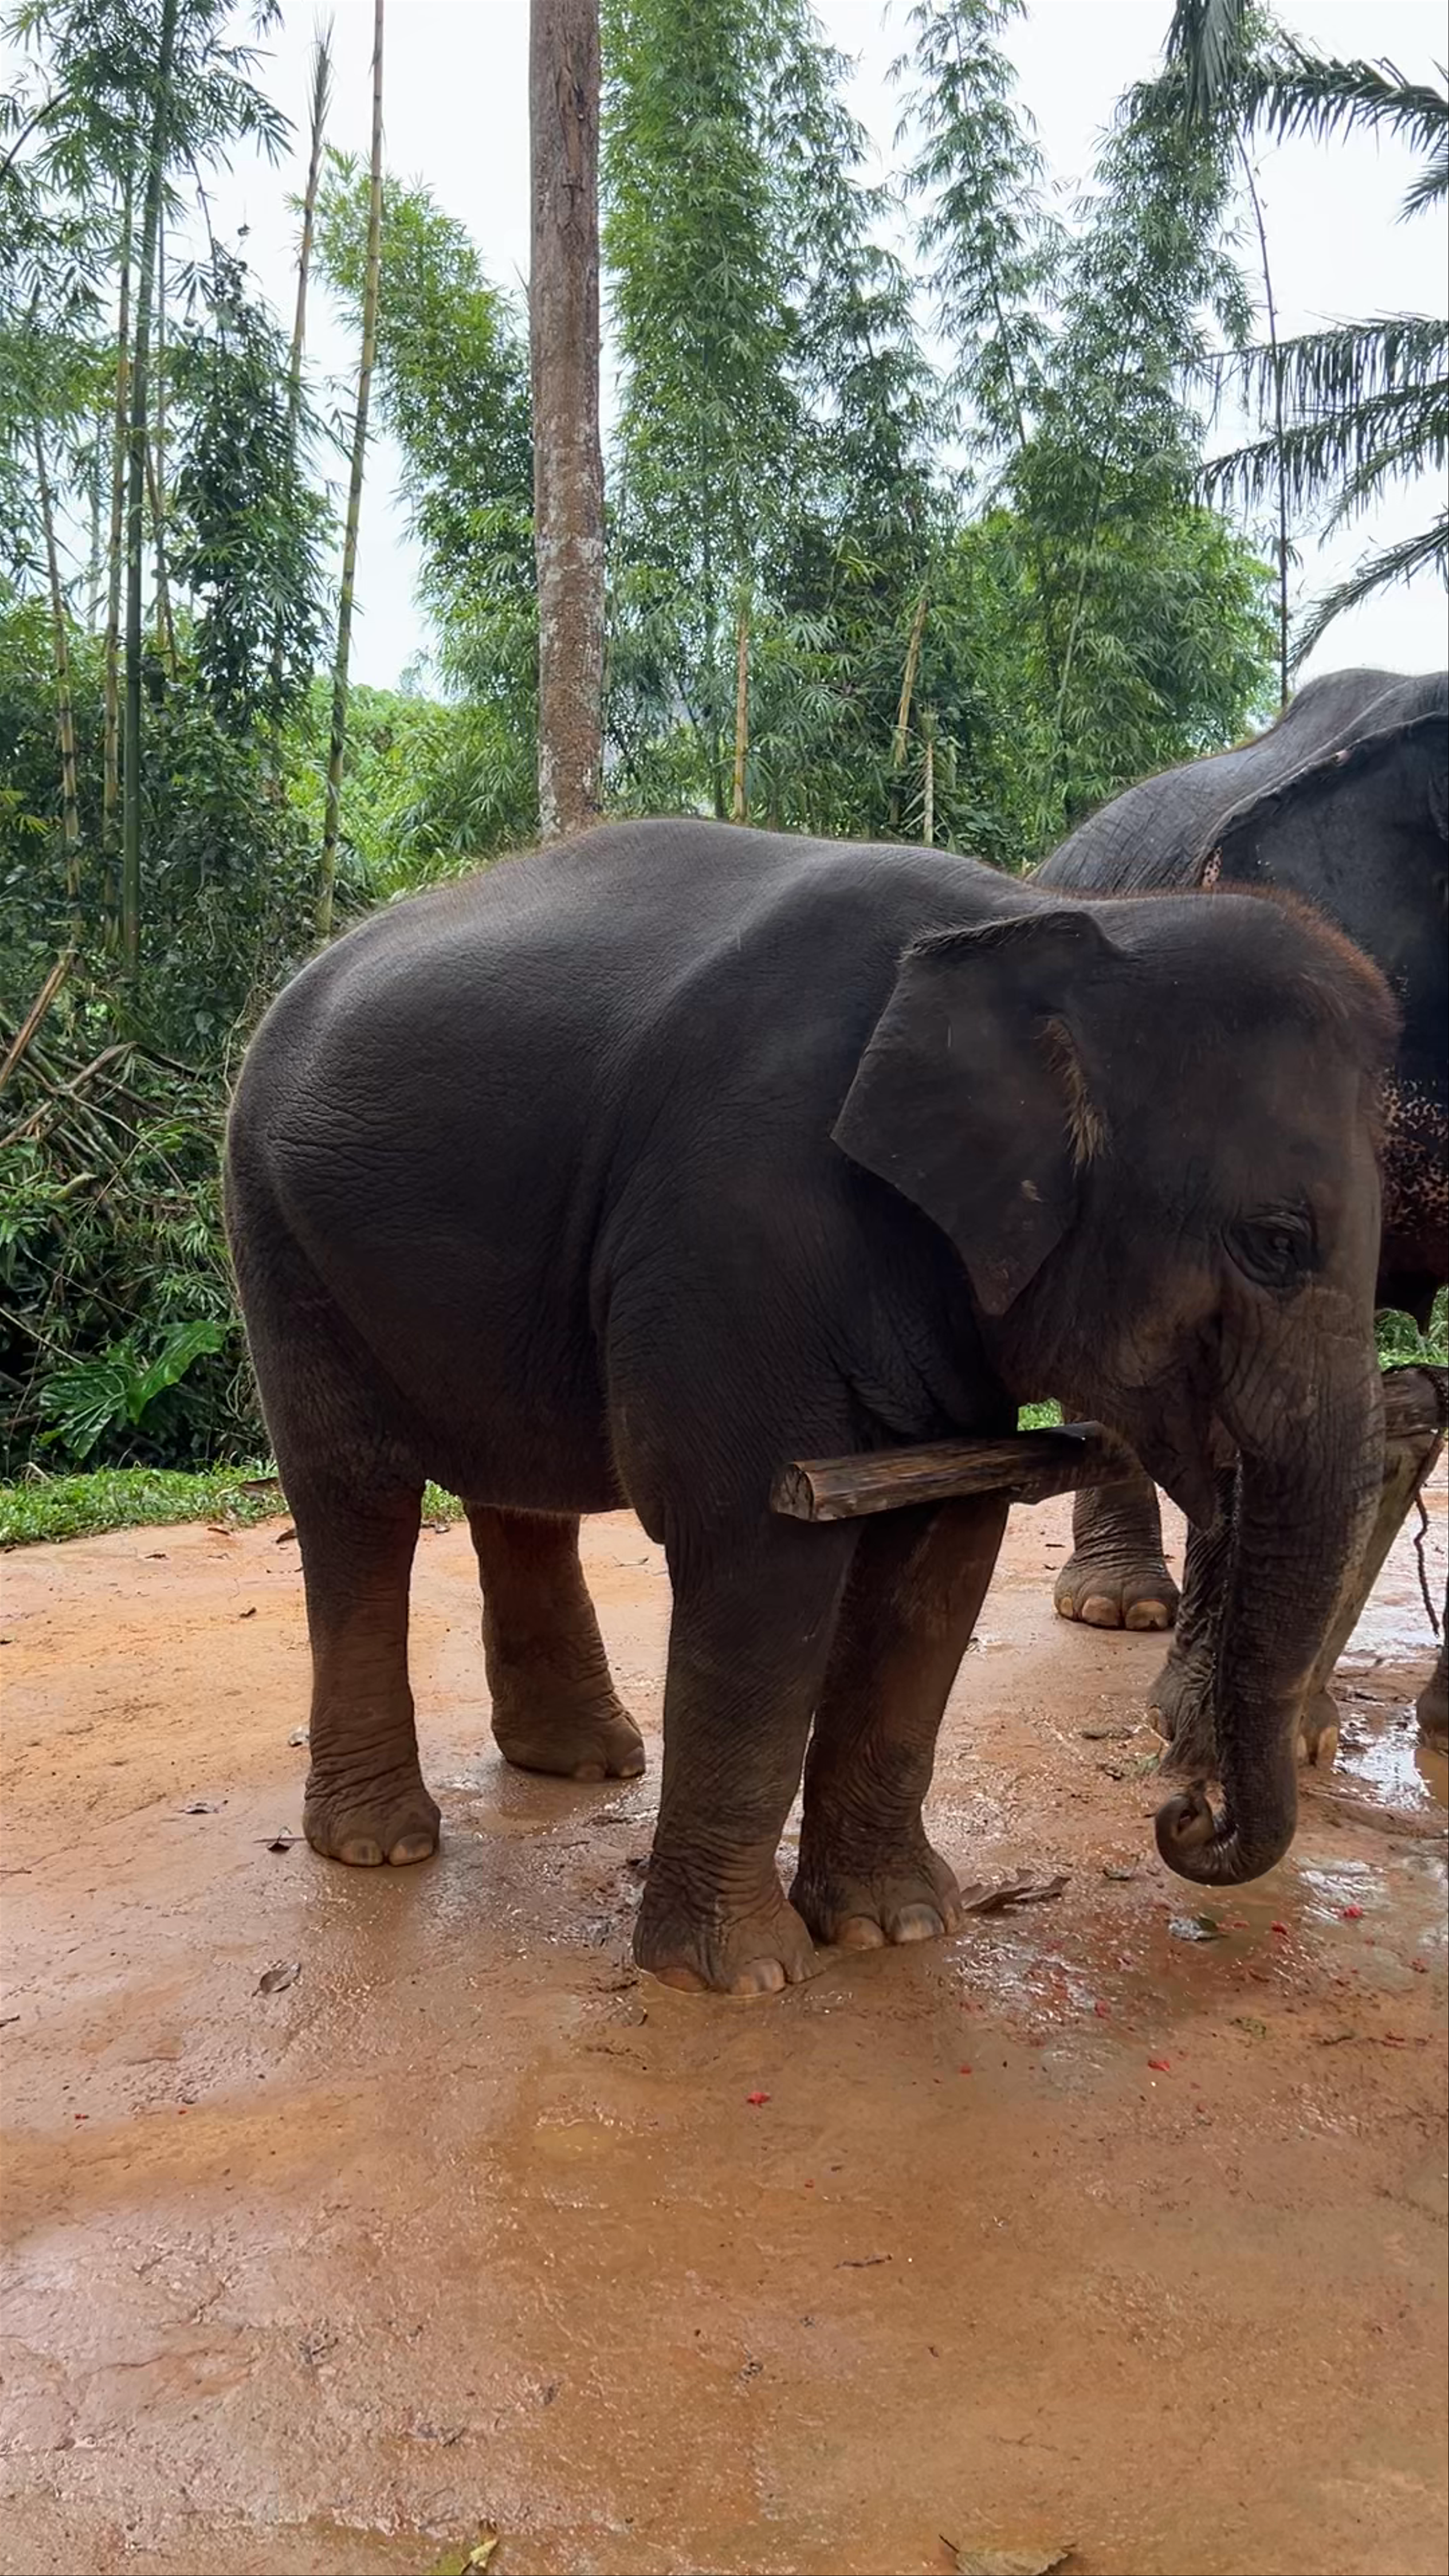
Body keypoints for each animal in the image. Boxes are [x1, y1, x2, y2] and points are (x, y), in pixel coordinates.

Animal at [225, 820, 1396, 1993]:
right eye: (1276, 1242)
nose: (1181, 1810)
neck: (1033, 918)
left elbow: (942, 1547)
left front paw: (898, 1927)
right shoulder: (733, 1218)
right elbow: (758, 1548)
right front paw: (742, 1977)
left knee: (515, 1485)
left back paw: (585, 1764)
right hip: (276, 1233)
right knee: (356, 1495)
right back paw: (381, 1845)